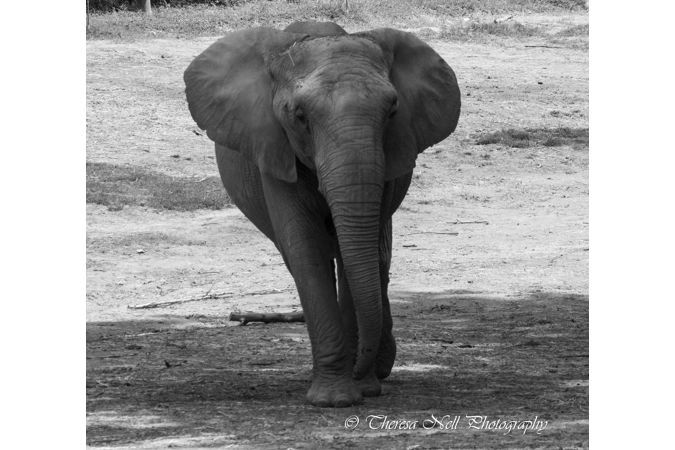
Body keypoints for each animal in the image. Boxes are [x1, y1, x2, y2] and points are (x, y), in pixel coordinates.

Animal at [184, 21, 460, 407]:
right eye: (300, 117)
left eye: (392, 112)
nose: (361, 372)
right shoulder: (275, 152)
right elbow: (306, 250)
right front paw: (334, 399)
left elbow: (356, 252)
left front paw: (361, 388)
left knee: (377, 258)